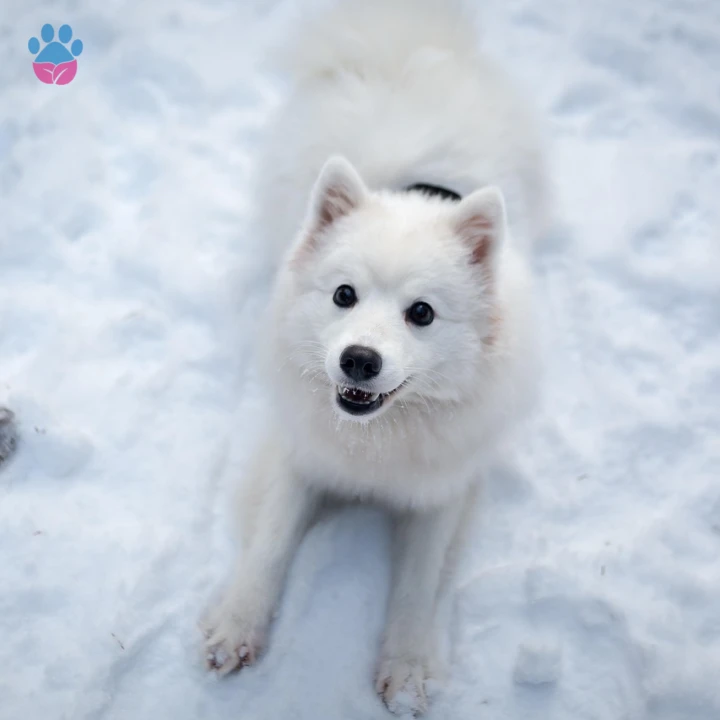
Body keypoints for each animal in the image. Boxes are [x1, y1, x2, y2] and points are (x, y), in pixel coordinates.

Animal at [200, 1, 548, 716]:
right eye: (343, 295)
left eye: (422, 313)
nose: (358, 359)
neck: (377, 438)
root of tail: (407, 44)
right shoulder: (298, 455)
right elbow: (269, 544)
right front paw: (236, 626)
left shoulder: (443, 490)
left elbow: (418, 584)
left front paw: (408, 669)